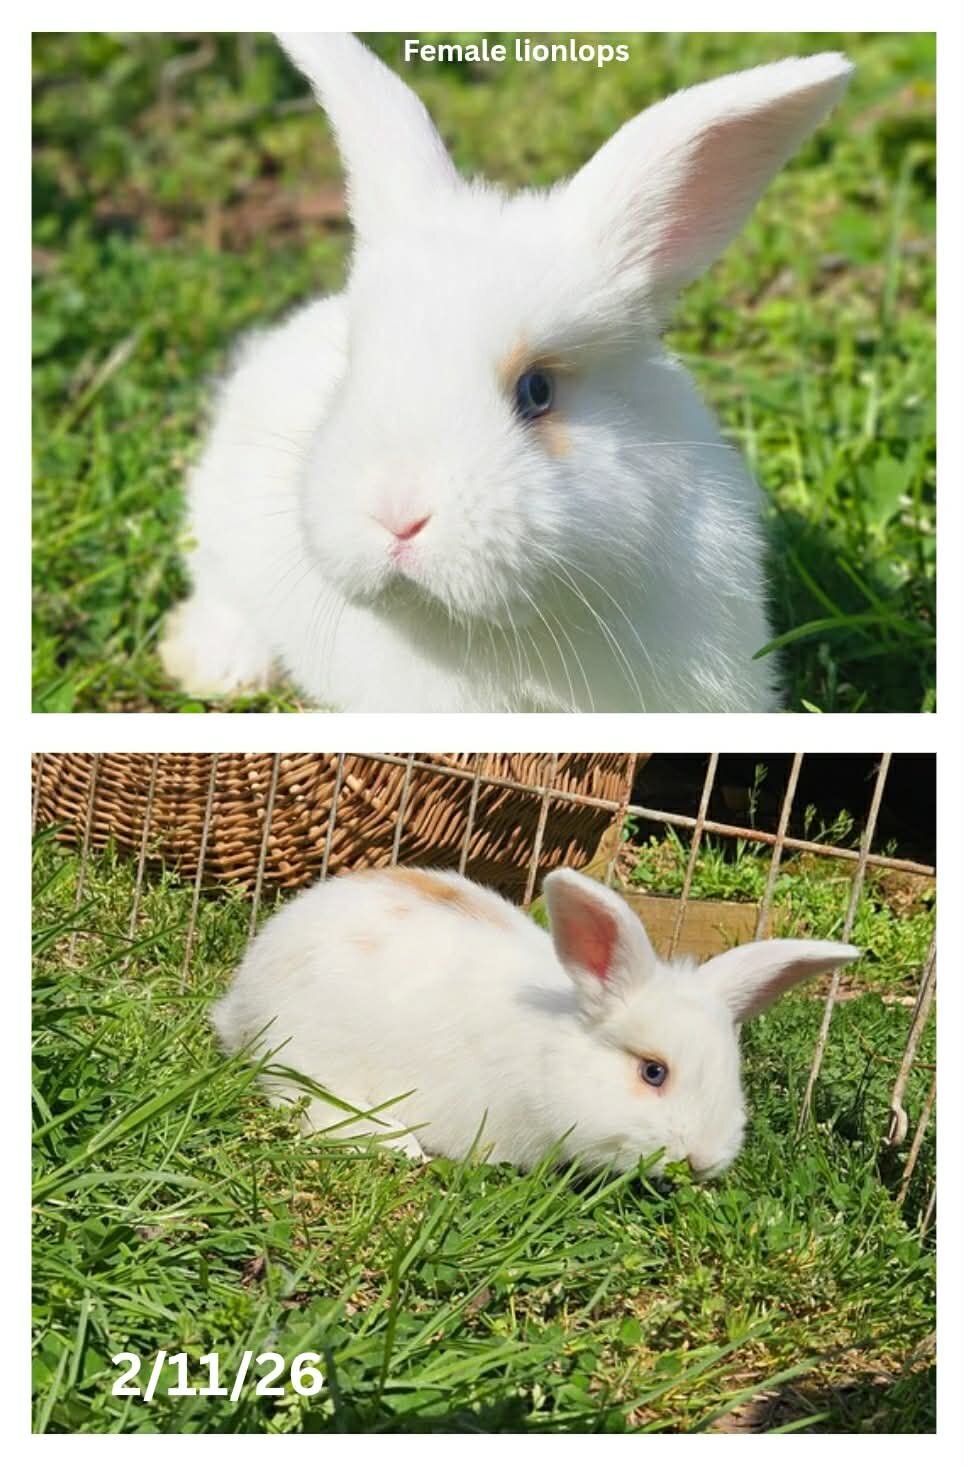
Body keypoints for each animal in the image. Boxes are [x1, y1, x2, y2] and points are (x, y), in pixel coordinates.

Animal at [211, 866, 860, 1176]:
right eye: (653, 1072)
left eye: (734, 1077)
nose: (703, 1161)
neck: (553, 1048)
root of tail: (239, 997)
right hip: (306, 1054)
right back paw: (396, 1143)